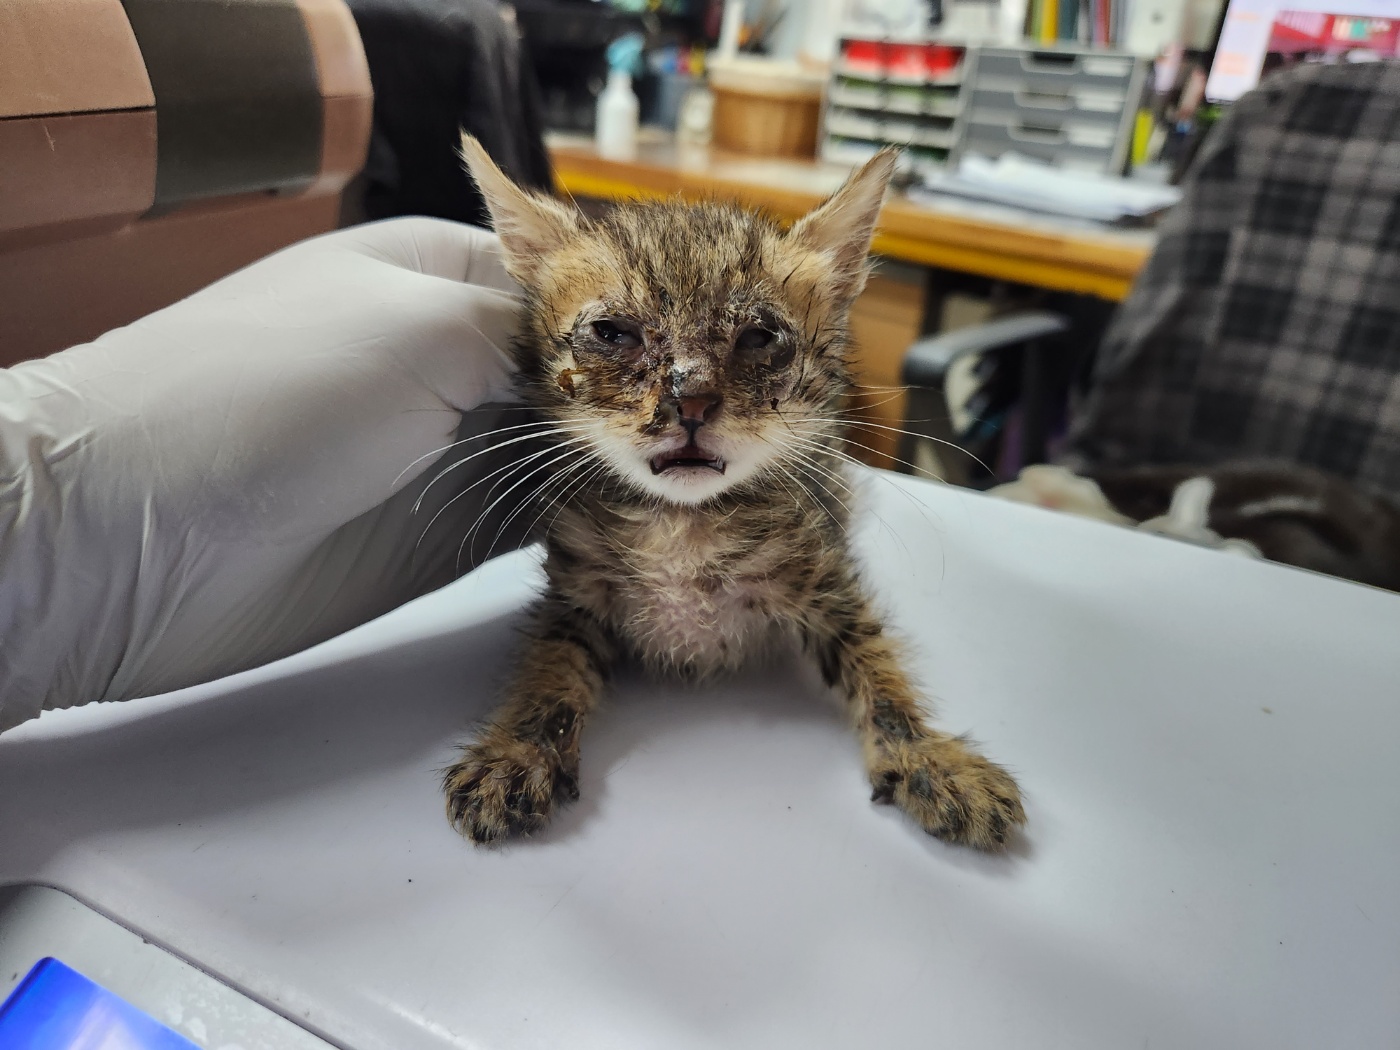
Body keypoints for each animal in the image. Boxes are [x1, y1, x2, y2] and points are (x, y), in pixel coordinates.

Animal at [448, 133, 1030, 856]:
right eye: (614, 334)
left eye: (758, 338)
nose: (692, 398)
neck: (685, 523)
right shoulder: (576, 591)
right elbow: (550, 662)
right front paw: (519, 749)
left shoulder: (828, 576)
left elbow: (875, 659)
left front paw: (924, 753)